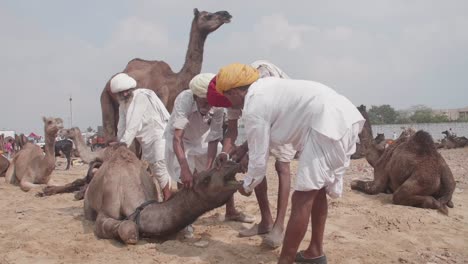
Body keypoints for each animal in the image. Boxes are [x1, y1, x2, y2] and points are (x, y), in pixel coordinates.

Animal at [103, 7, 234, 140]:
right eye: (207, 16)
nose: (226, 14)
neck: (174, 83)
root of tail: (108, 84)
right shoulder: (162, 98)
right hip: (106, 100)